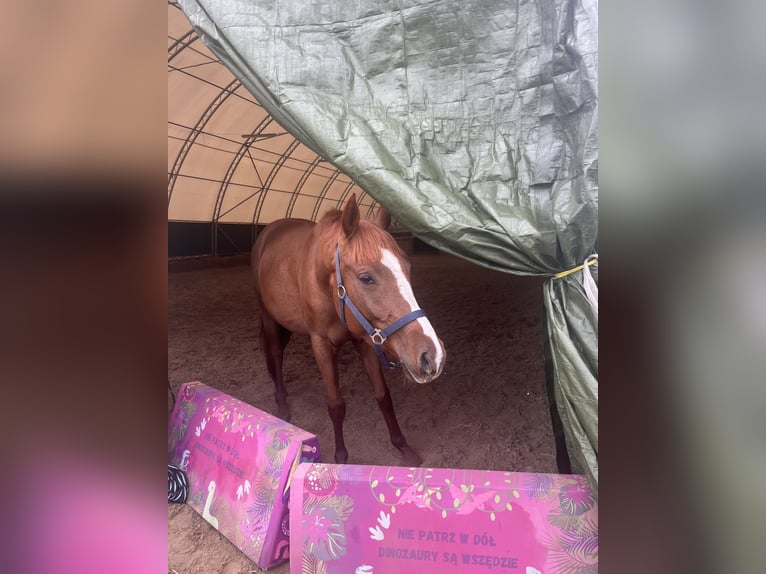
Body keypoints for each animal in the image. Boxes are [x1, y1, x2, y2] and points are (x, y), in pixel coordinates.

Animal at [251, 195, 446, 466]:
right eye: (366, 278)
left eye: (407, 268)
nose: (432, 355)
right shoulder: (321, 345)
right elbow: (336, 405)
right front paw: (341, 457)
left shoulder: (365, 340)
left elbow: (383, 396)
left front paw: (403, 447)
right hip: (269, 318)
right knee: (276, 355)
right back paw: (282, 404)